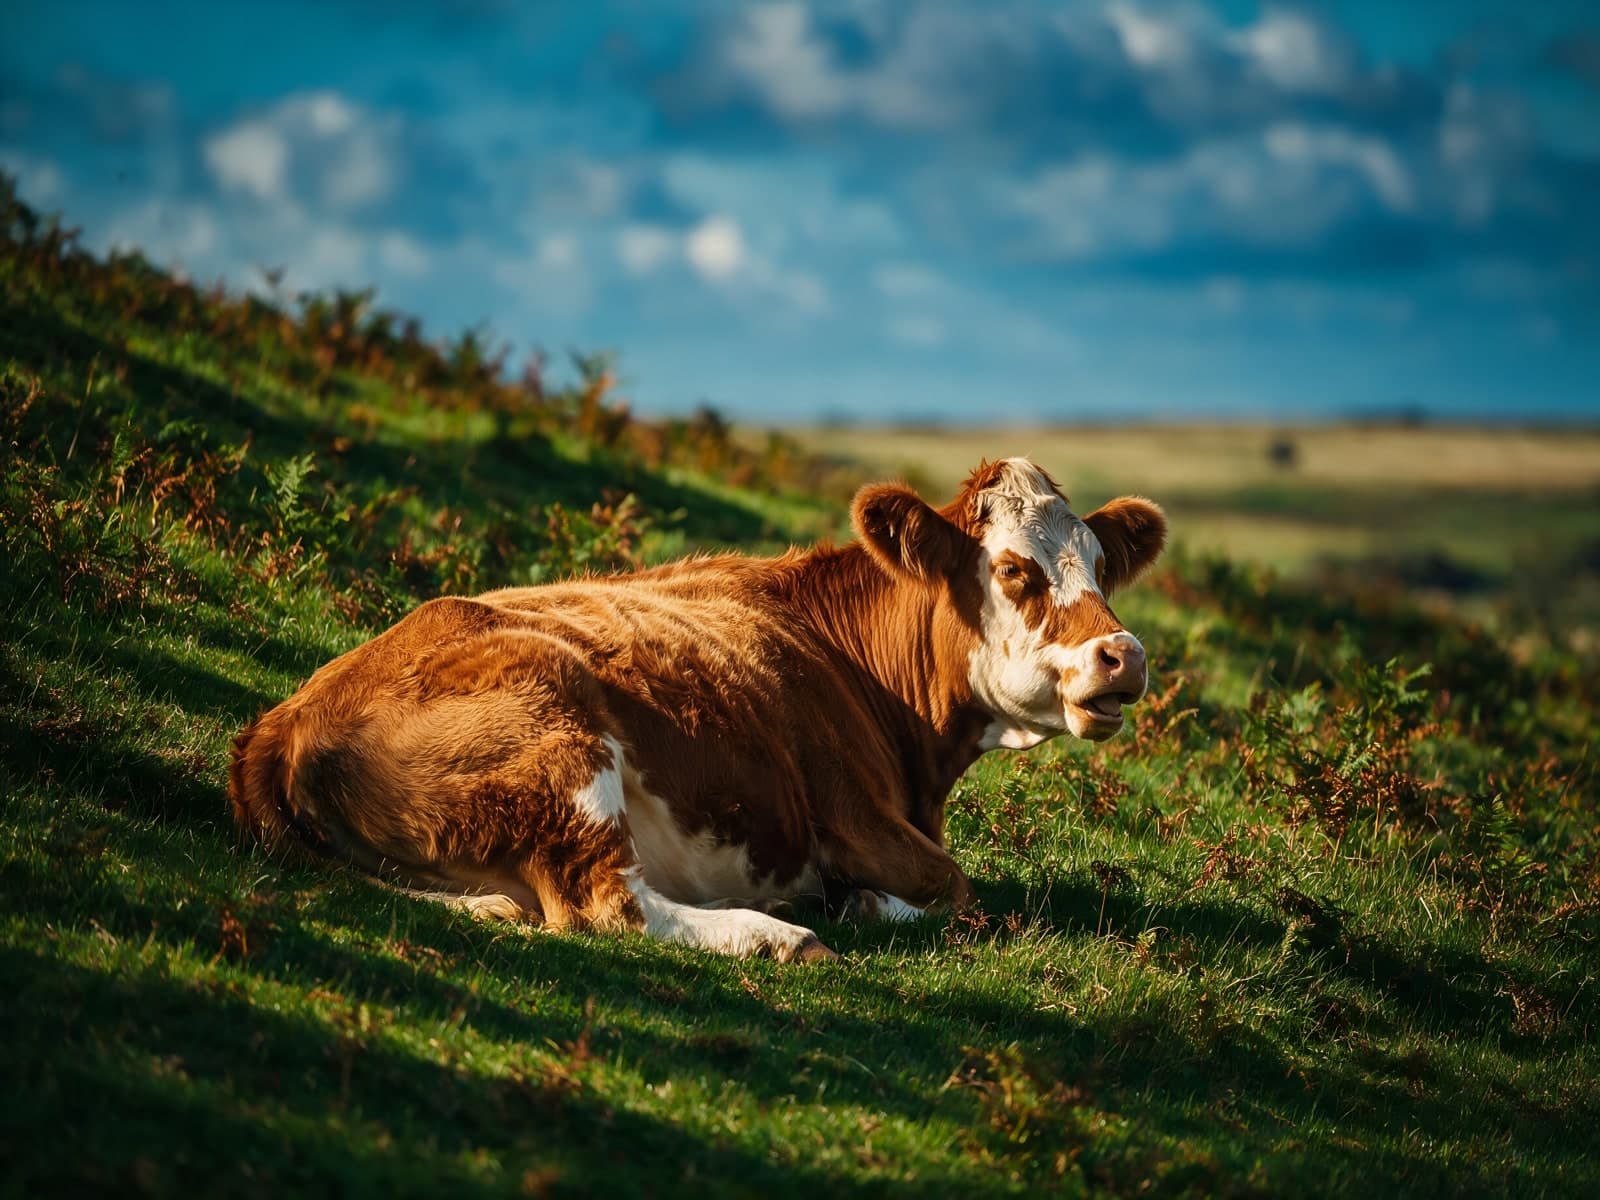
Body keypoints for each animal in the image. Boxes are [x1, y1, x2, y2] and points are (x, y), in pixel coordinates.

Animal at [229, 458, 1166, 962]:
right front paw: (859, 905)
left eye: (1097, 563)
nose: (1125, 655)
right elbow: (958, 886)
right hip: (558, 734)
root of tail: (287, 716)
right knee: (606, 903)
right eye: (1014, 569)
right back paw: (774, 934)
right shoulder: (854, 814)